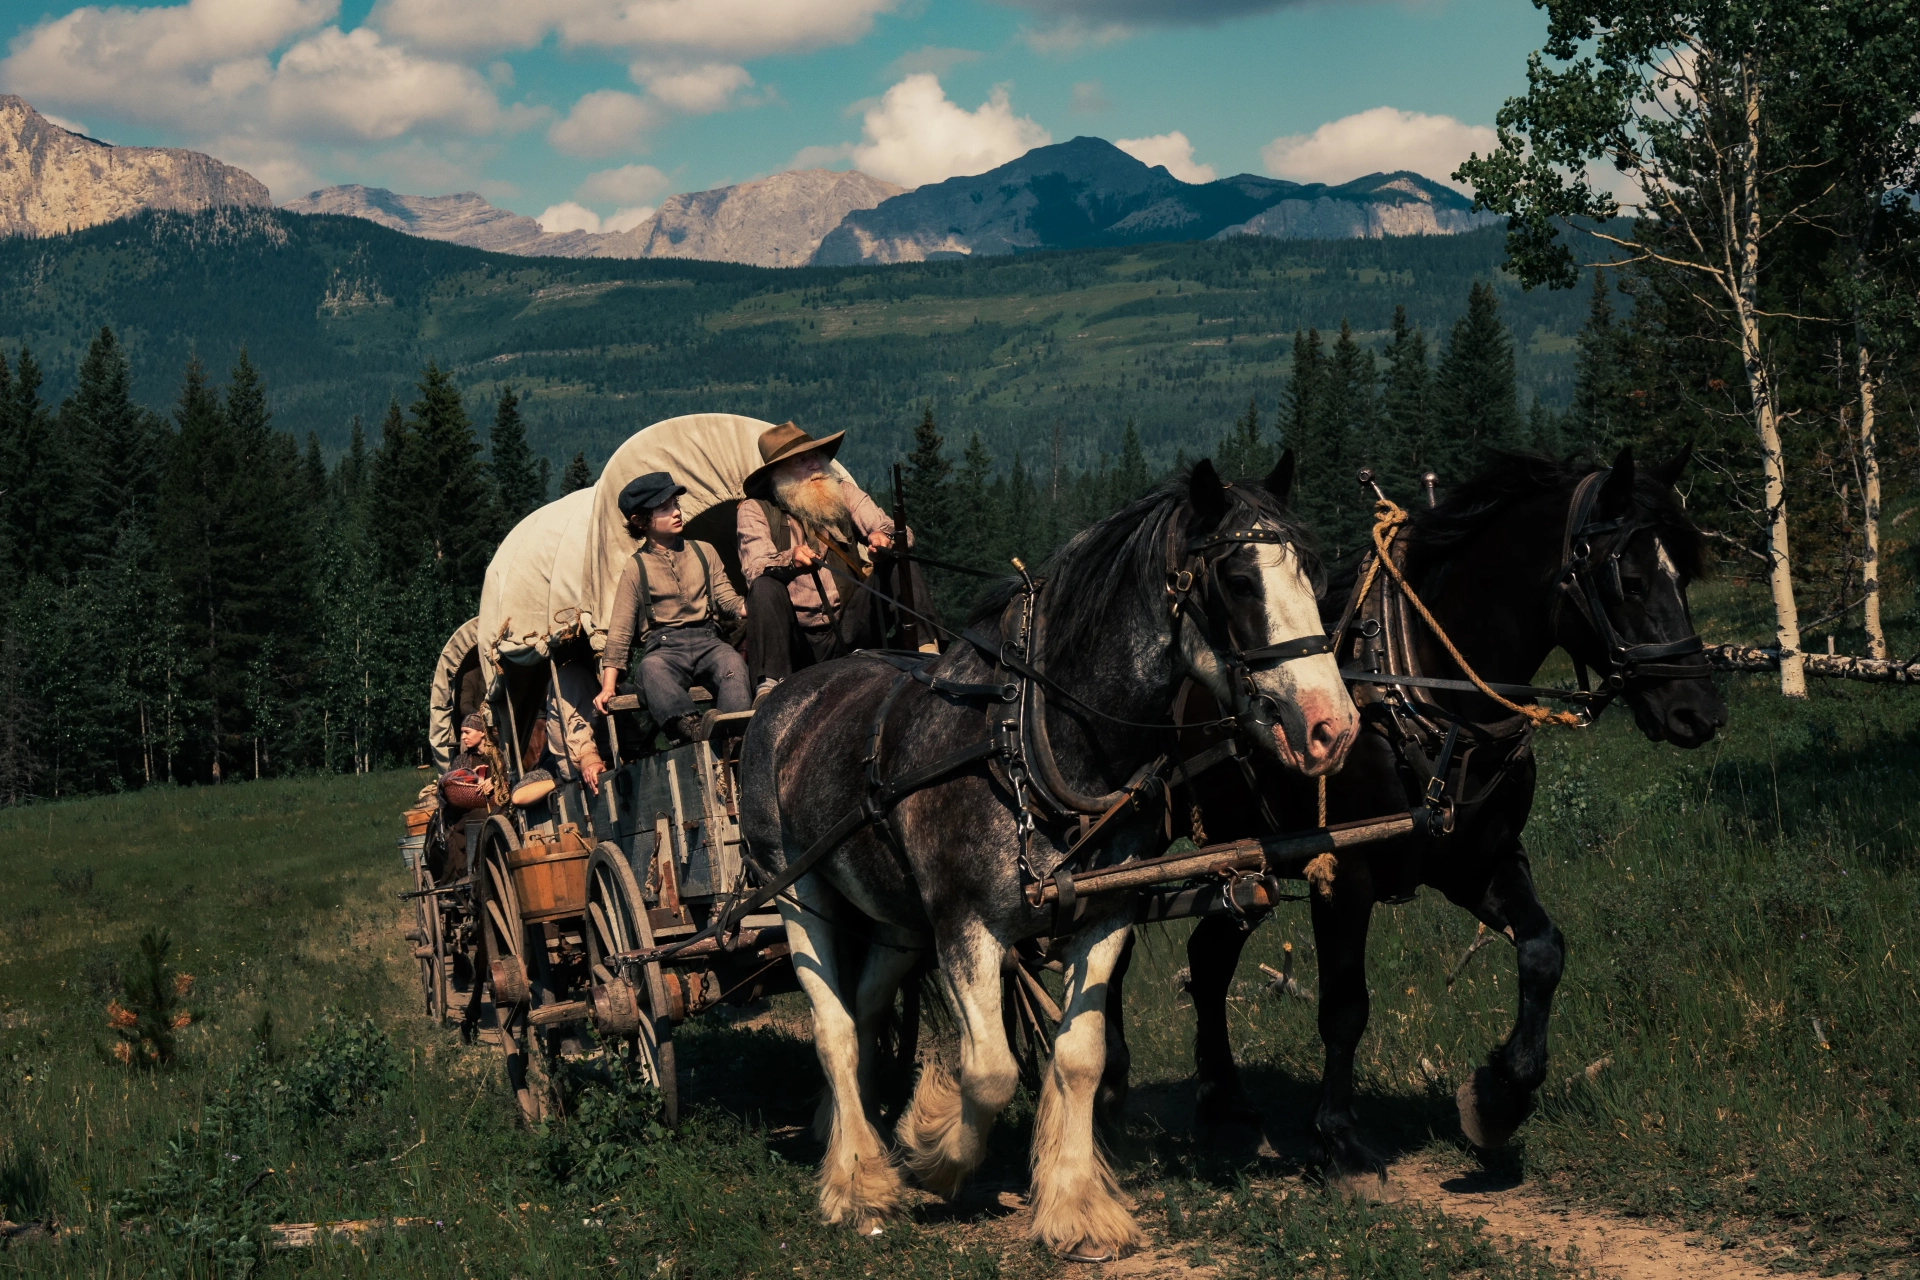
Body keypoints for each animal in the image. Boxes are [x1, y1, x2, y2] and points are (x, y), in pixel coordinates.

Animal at [741, 454, 1359, 1258]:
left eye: (1315, 572)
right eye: (1238, 581)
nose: (1331, 727)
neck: (1033, 745)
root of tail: (789, 697)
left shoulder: (1104, 913)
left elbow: (1080, 1056)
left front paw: (1073, 1207)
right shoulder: (966, 925)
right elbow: (991, 1071)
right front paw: (934, 1153)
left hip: (896, 916)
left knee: (869, 1006)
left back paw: (846, 1126)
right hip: (794, 884)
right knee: (835, 1028)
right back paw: (855, 1178)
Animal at [1136, 450, 1728, 1174]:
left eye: (1684, 573)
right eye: (1631, 581)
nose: (1699, 712)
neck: (1420, 690)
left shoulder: (1480, 859)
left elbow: (1544, 950)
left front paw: (1501, 1094)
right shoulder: (1344, 873)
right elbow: (1344, 1006)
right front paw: (1339, 1135)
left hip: (1245, 863)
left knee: (1208, 957)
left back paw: (1222, 1098)